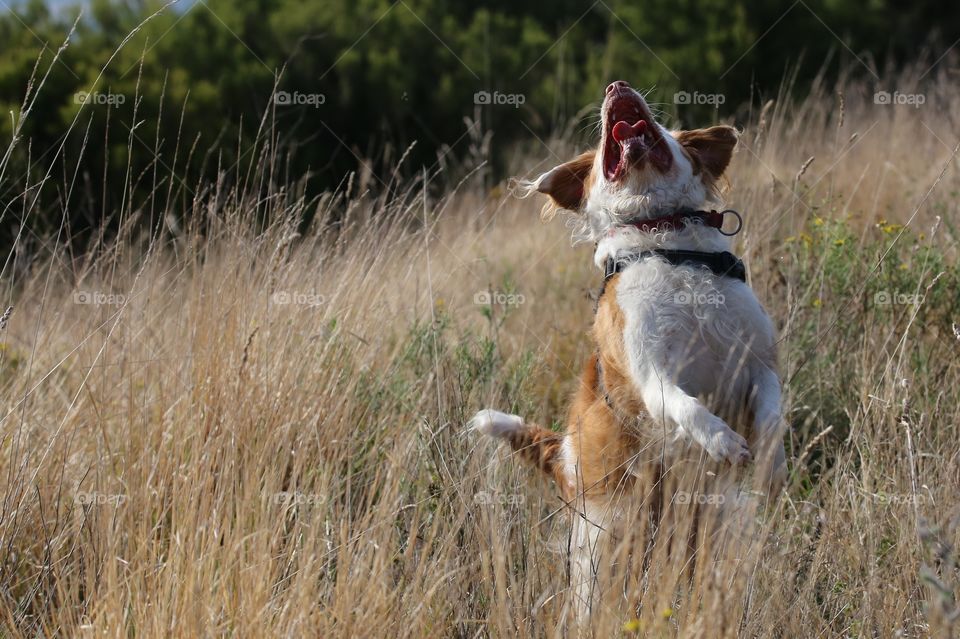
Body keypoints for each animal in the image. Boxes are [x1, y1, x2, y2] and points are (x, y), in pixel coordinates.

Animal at [466, 80, 788, 620]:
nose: (616, 86)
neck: (667, 242)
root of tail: (564, 455)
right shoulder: (651, 373)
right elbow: (686, 406)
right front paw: (723, 441)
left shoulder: (758, 363)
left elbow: (771, 411)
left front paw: (769, 456)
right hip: (602, 549)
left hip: (712, 527)